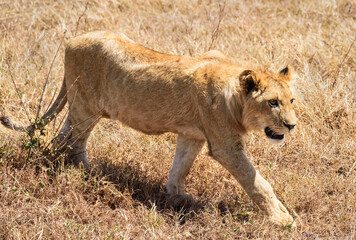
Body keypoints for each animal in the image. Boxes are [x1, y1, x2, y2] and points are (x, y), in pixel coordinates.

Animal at [1, 31, 298, 227]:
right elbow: (256, 181)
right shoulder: (226, 146)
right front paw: (282, 219)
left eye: (291, 101)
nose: (292, 125)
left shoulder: (192, 135)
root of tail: (73, 40)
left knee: (62, 136)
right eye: (272, 102)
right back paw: (86, 173)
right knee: (76, 141)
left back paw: (54, 164)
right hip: (87, 106)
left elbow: (181, 166)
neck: (234, 94)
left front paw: (177, 195)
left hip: (78, 105)